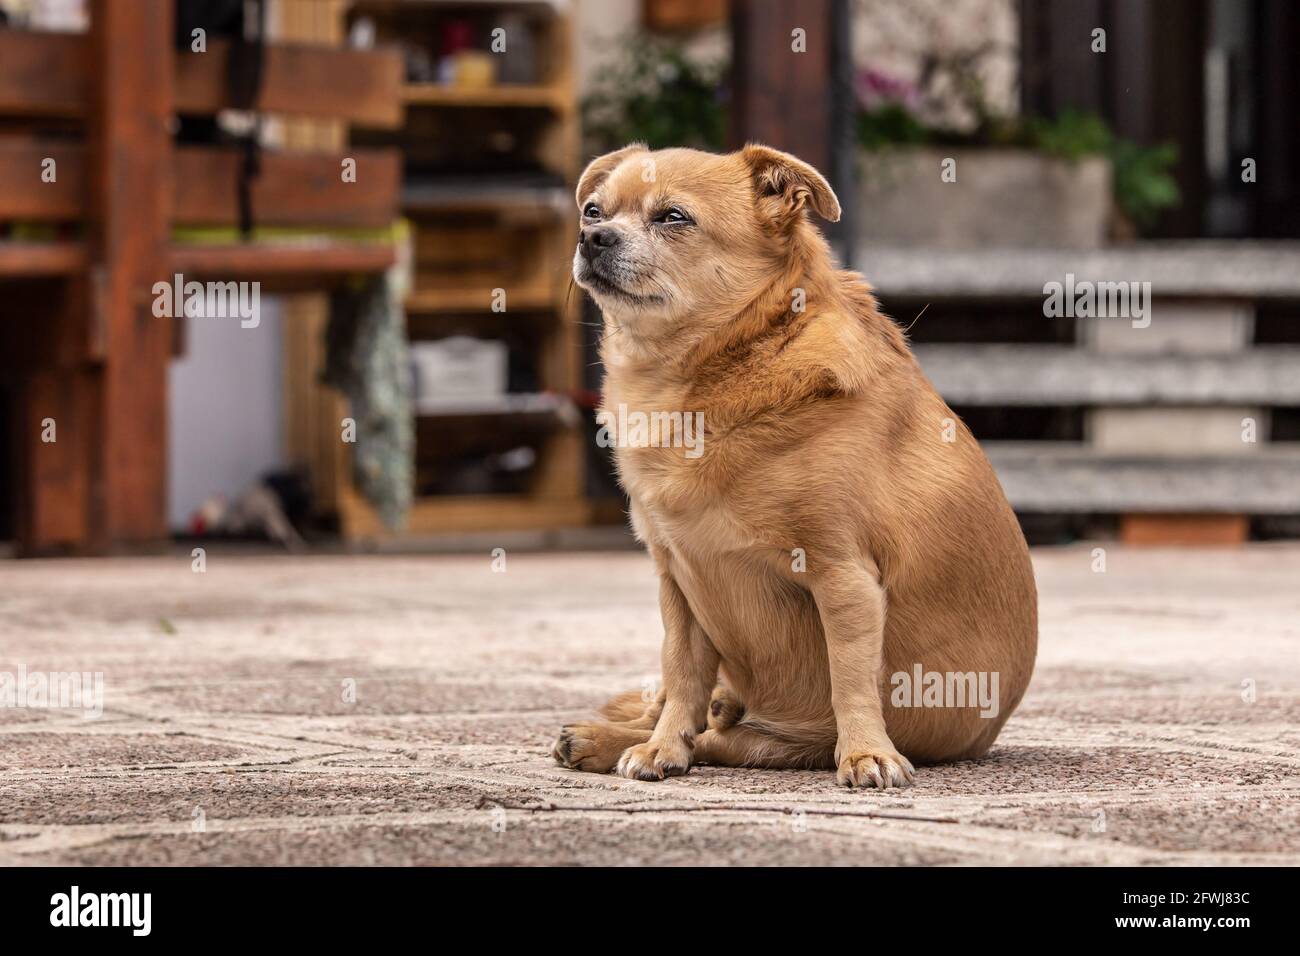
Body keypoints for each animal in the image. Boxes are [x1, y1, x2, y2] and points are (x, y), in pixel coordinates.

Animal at [548, 141, 1034, 785]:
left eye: (673, 217)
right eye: (594, 210)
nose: (592, 236)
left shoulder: (844, 577)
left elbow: (849, 677)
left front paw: (866, 753)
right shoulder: (678, 584)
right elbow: (681, 673)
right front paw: (661, 747)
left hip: (779, 735)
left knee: (729, 737)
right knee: (695, 708)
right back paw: (607, 737)